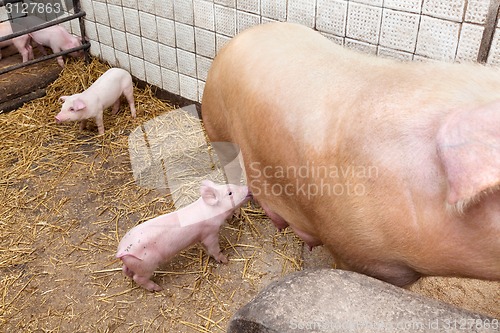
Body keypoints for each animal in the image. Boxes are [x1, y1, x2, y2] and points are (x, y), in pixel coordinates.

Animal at [116, 179, 250, 290]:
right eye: (230, 193)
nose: (248, 187)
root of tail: (121, 251)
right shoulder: (210, 233)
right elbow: (214, 248)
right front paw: (225, 260)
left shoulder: (201, 236)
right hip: (147, 264)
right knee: (138, 278)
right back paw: (157, 288)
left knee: (126, 271)